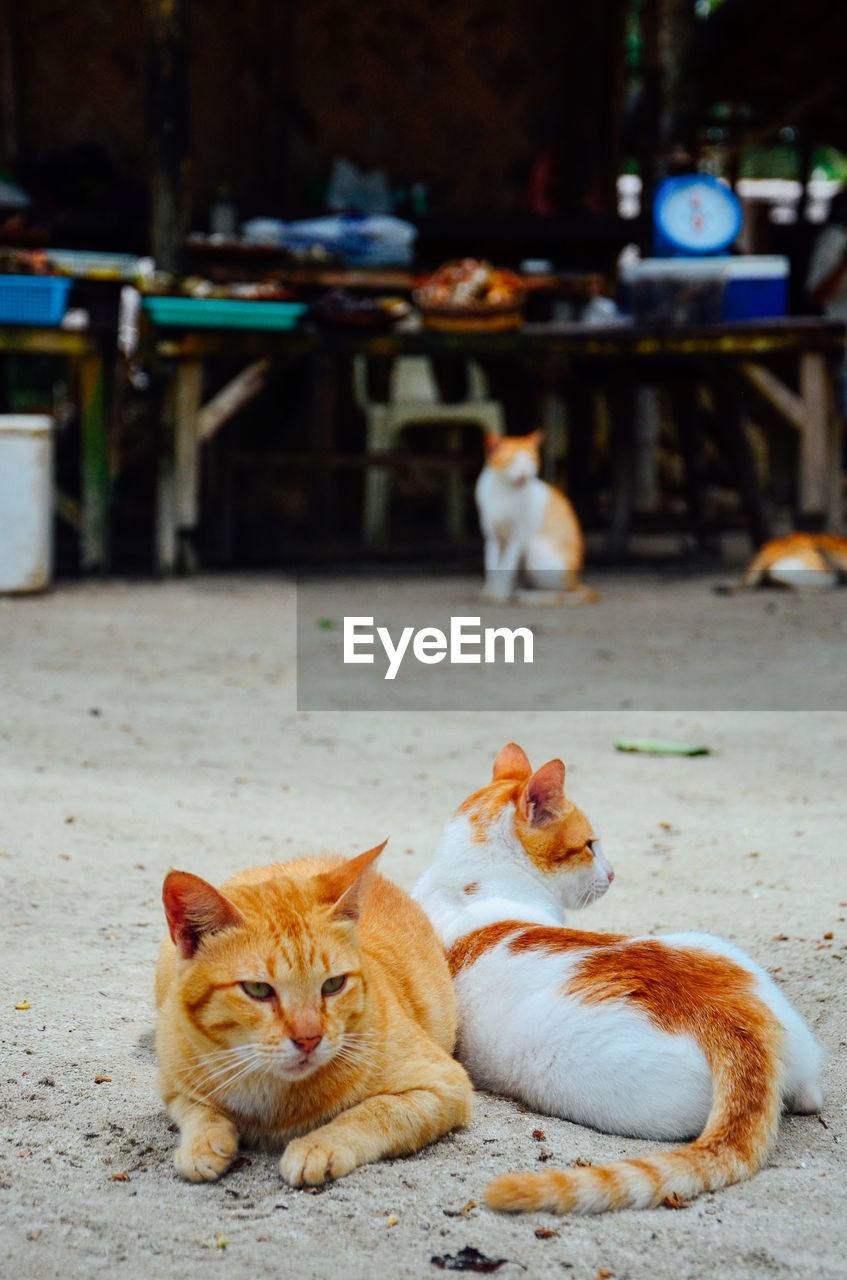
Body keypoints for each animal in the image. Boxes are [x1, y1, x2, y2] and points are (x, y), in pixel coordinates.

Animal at [478, 432, 596, 601]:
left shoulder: (517, 538)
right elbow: (493, 566)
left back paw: (531, 595)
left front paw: (499, 594)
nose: (524, 474)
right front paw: (491, 592)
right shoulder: (492, 538)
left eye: (531, 461)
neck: (503, 491)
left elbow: (506, 566)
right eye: (511, 460)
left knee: (560, 592)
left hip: (535, 549)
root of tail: (576, 582)